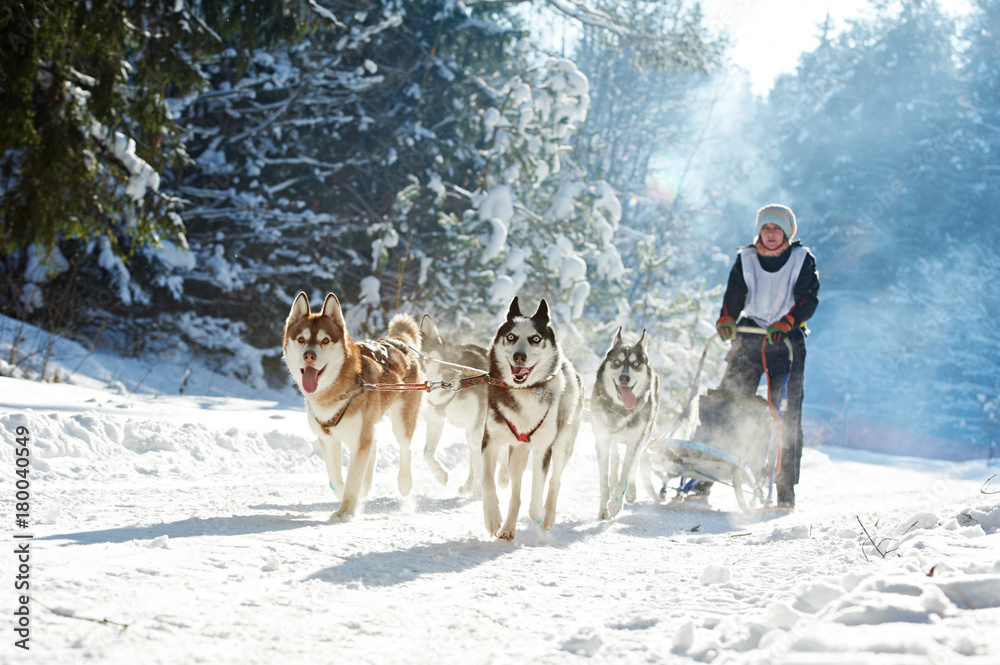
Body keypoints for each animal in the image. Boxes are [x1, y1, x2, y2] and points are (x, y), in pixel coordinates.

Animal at [282, 292, 422, 520]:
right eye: (301, 339)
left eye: (325, 340)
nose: (309, 355)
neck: (333, 393)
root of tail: (398, 342)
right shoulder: (328, 440)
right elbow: (337, 479)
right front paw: (351, 498)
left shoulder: (359, 441)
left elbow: (352, 480)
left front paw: (345, 512)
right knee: (374, 444)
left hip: (401, 419)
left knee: (405, 448)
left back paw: (404, 482)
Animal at [416, 316, 490, 492]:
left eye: (423, 353)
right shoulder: (436, 419)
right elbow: (427, 453)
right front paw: (441, 475)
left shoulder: (477, 426)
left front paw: (479, 492)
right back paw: (468, 486)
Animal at [480, 296, 584, 540]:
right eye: (511, 337)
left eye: (535, 339)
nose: (520, 356)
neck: (524, 392)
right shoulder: (491, 440)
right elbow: (488, 481)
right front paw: (492, 516)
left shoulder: (542, 449)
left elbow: (538, 489)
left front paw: (537, 514)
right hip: (517, 454)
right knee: (516, 493)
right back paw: (508, 527)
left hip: (562, 444)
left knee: (555, 480)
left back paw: (548, 516)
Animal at [588, 326, 660, 520]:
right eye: (617, 362)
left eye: (635, 364)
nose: (624, 378)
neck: (620, 409)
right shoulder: (602, 441)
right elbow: (604, 481)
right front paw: (604, 509)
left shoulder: (635, 442)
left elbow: (626, 474)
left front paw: (615, 504)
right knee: (615, 460)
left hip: (643, 438)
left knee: (633, 465)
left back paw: (630, 492)